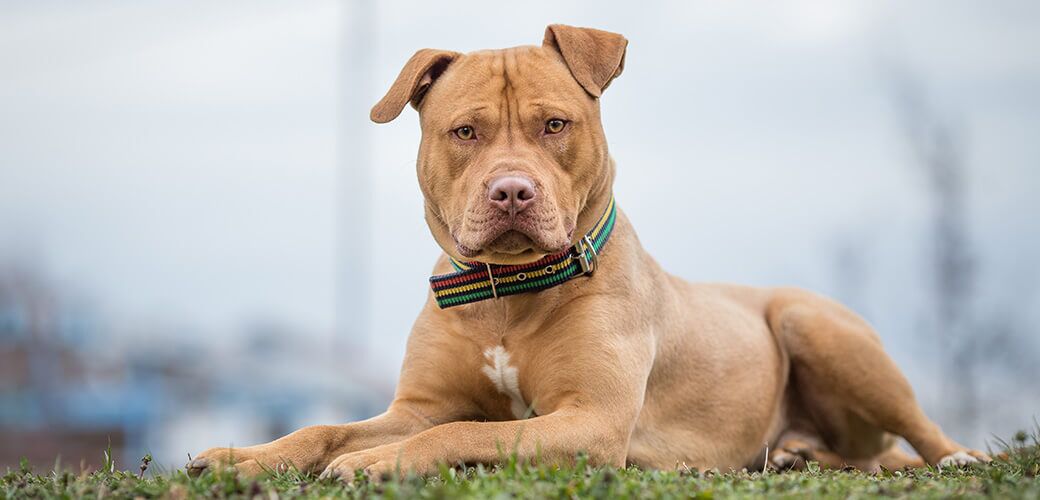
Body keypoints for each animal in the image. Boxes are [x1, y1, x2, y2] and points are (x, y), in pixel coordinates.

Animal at [187, 24, 990, 480]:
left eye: (554, 124)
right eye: (465, 132)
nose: (512, 191)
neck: (506, 294)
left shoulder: (592, 419)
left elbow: (462, 432)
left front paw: (377, 463)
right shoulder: (416, 404)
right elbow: (330, 426)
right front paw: (242, 458)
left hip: (811, 321)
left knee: (918, 432)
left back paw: (959, 457)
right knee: (864, 454)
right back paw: (800, 454)